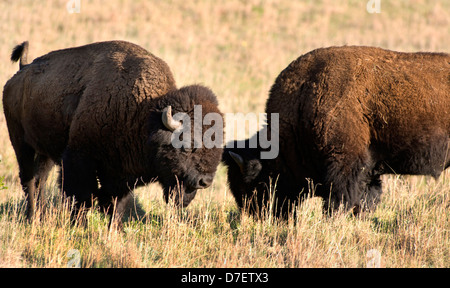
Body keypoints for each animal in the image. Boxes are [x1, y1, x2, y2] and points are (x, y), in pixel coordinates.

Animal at [2, 41, 223, 225]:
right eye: (187, 146)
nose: (205, 181)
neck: (144, 115)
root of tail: (23, 70)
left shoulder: (121, 174)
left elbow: (116, 204)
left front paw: (112, 230)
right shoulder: (79, 158)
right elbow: (82, 197)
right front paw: (80, 227)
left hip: (44, 152)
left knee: (40, 180)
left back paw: (41, 216)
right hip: (21, 144)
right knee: (29, 180)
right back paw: (32, 218)